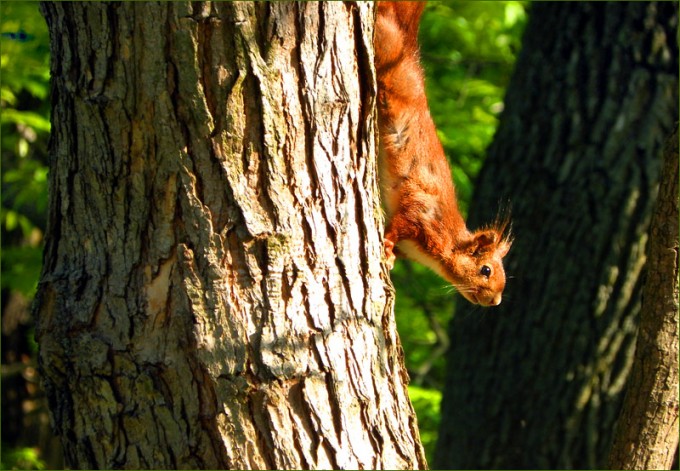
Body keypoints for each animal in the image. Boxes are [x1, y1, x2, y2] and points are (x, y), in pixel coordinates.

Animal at [374, 1, 512, 306]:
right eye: (486, 270)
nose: (495, 302)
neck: (449, 242)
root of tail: (407, 48)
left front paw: (391, 256)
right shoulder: (421, 215)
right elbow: (399, 224)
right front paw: (387, 247)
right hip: (385, 49)